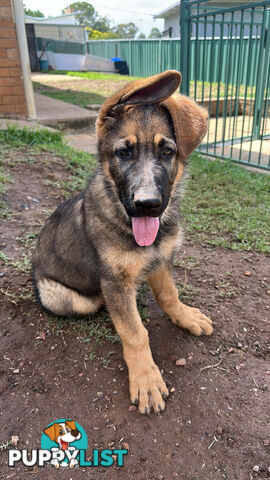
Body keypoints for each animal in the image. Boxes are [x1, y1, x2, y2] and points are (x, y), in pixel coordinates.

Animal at [32, 69, 213, 414]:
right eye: (123, 152)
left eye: (167, 151)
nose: (147, 204)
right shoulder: (115, 281)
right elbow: (134, 332)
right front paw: (146, 379)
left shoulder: (160, 261)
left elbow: (169, 295)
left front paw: (184, 316)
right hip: (65, 296)